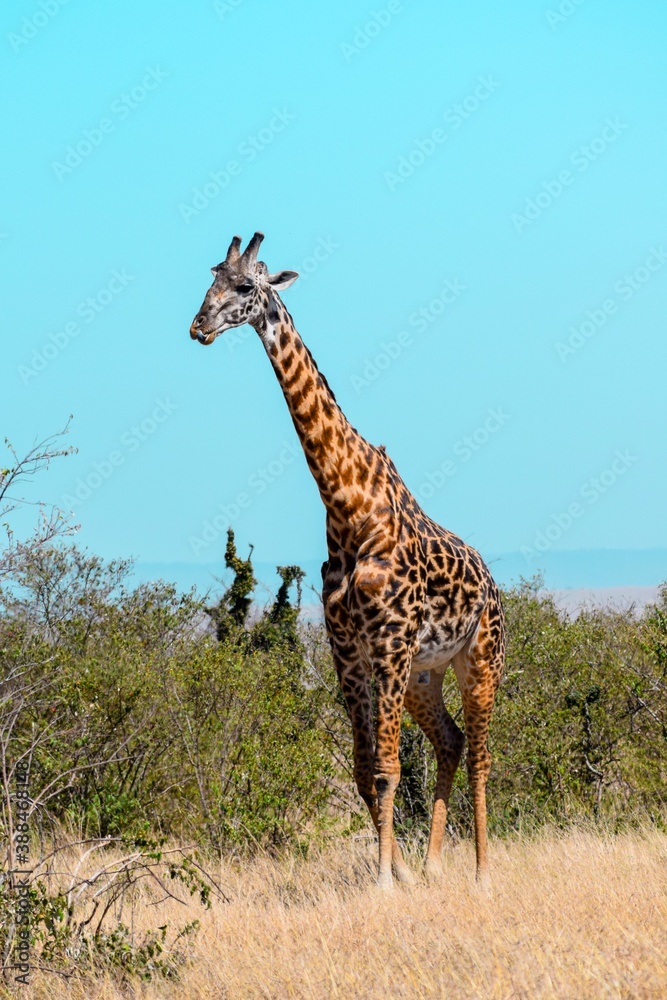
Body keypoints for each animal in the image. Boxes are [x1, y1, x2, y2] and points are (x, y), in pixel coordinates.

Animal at [190, 232, 505, 889]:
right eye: (209, 279)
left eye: (245, 286)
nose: (198, 326)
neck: (345, 502)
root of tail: (494, 585)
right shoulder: (350, 652)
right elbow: (366, 771)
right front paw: (401, 874)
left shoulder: (387, 643)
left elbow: (386, 768)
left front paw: (384, 880)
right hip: (425, 674)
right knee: (451, 742)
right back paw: (434, 865)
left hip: (480, 657)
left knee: (483, 754)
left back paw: (484, 872)